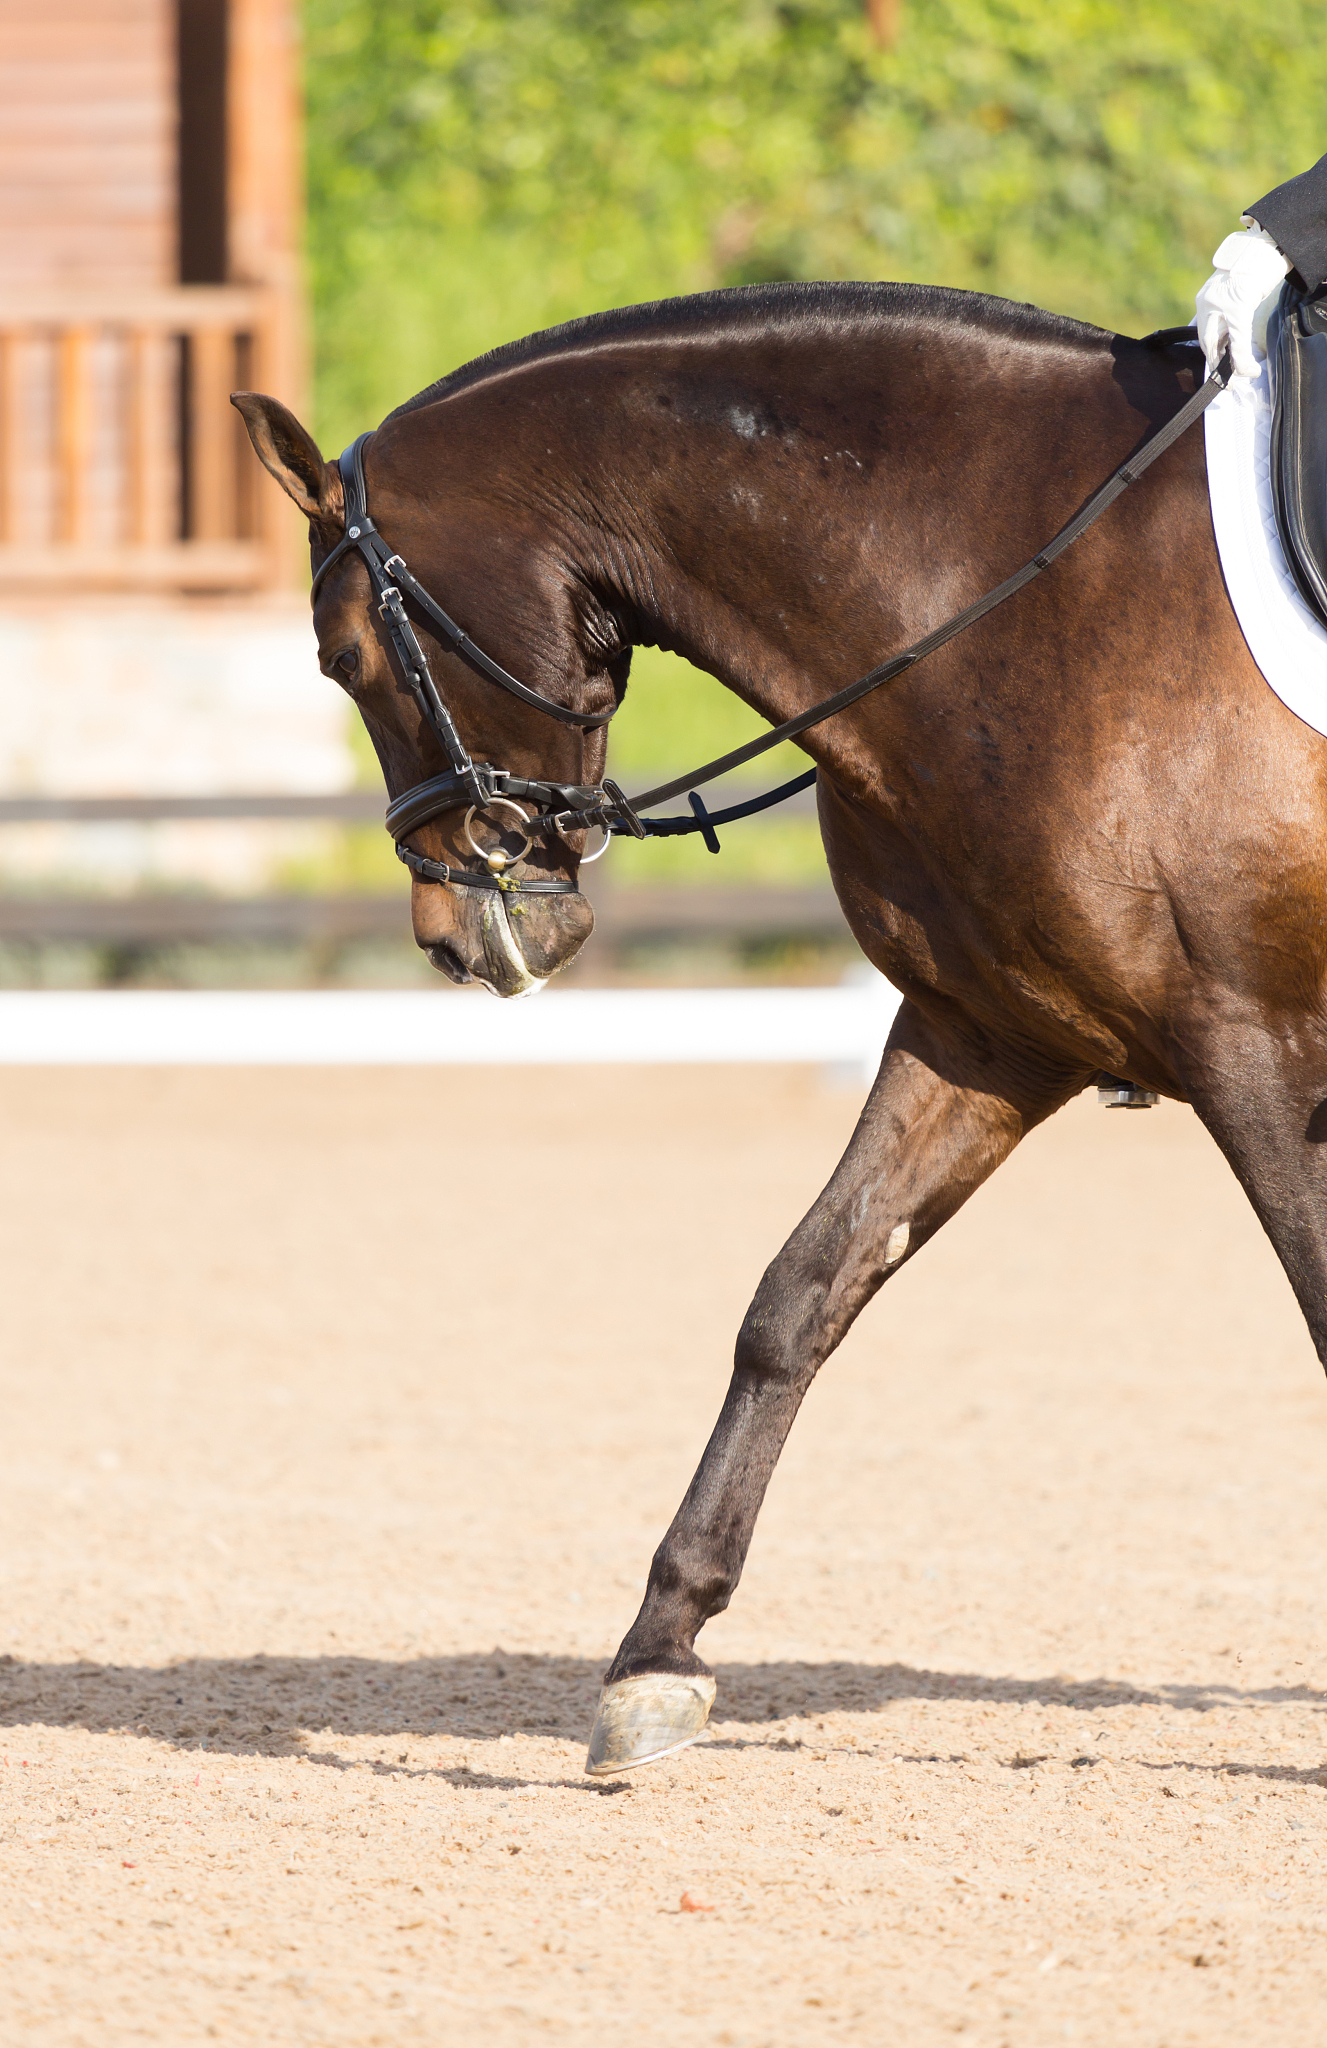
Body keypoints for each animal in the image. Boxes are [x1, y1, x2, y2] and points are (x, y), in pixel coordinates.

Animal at [234, 280, 1327, 1774]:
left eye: (342, 655)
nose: (457, 939)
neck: (1017, 588)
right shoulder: (987, 1036)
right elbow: (799, 1294)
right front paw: (655, 1658)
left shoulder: (1249, 1043)